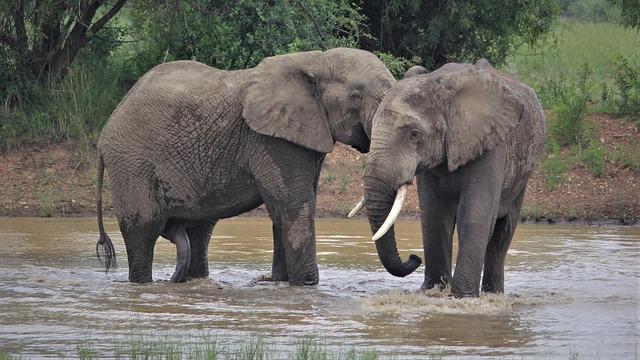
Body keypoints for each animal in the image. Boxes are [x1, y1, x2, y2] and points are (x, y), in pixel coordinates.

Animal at [94, 47, 396, 284]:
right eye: (356, 96)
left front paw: (278, 282)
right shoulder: (269, 139)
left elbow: (284, 210)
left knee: (199, 230)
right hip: (131, 162)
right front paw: (305, 285)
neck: (316, 61)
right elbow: (294, 205)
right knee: (143, 230)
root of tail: (105, 130)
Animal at [352, 58, 548, 296]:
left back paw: (493, 294)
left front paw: (463, 297)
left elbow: (473, 215)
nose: (414, 257)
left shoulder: (490, 143)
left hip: (522, 176)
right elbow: (434, 216)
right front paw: (433, 291)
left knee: (503, 230)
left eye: (414, 135)